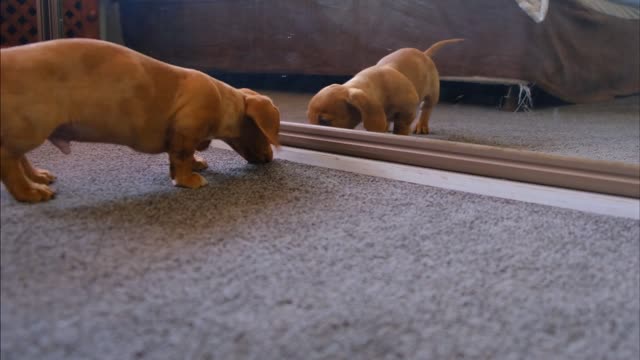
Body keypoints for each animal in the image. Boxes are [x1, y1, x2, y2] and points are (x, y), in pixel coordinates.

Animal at [0, 39, 280, 204]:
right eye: (263, 133)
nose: (269, 159)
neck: (223, 99)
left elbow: (183, 156)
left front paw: (196, 163)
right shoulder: (185, 131)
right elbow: (181, 158)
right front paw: (188, 180)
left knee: (19, 157)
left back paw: (37, 176)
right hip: (30, 126)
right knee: (8, 159)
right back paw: (29, 191)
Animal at [308, 38, 462, 135]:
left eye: (324, 121)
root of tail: (424, 54)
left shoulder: (408, 112)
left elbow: (401, 127)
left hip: (432, 94)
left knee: (426, 109)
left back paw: (422, 125)